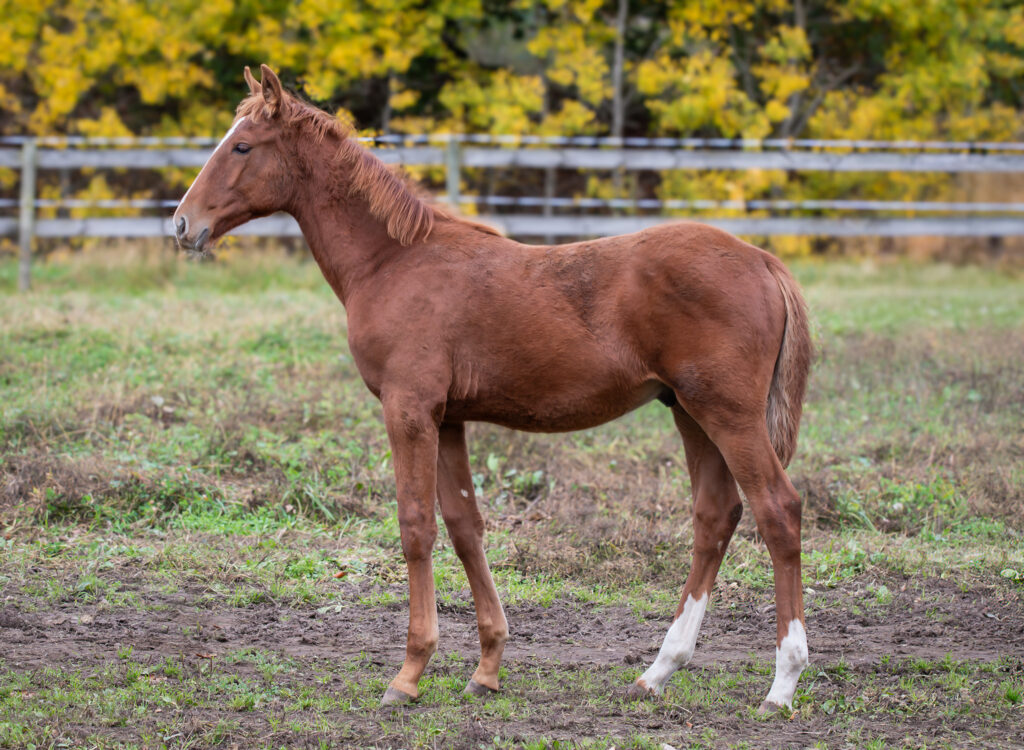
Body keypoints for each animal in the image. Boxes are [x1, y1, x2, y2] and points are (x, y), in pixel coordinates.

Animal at [173, 65, 813, 712]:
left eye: (242, 146)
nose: (182, 224)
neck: (391, 261)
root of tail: (761, 260)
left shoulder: (409, 410)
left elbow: (416, 527)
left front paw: (408, 673)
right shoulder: (448, 417)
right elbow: (465, 528)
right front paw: (486, 668)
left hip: (728, 414)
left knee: (777, 511)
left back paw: (782, 683)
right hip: (689, 411)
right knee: (715, 517)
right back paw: (658, 670)